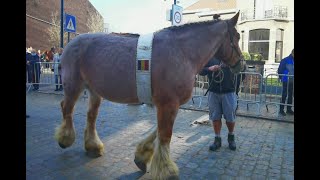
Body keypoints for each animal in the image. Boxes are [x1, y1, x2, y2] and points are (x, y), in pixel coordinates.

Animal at [56, 12, 244, 179]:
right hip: (74, 87)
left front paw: (142, 156)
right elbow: (165, 134)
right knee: (67, 108)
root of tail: (70, 44)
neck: (181, 52)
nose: (241, 65)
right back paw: (65, 138)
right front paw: (167, 170)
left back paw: (93, 146)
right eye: (236, 37)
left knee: (91, 116)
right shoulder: (168, 103)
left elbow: (158, 131)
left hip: (94, 91)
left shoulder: (167, 104)